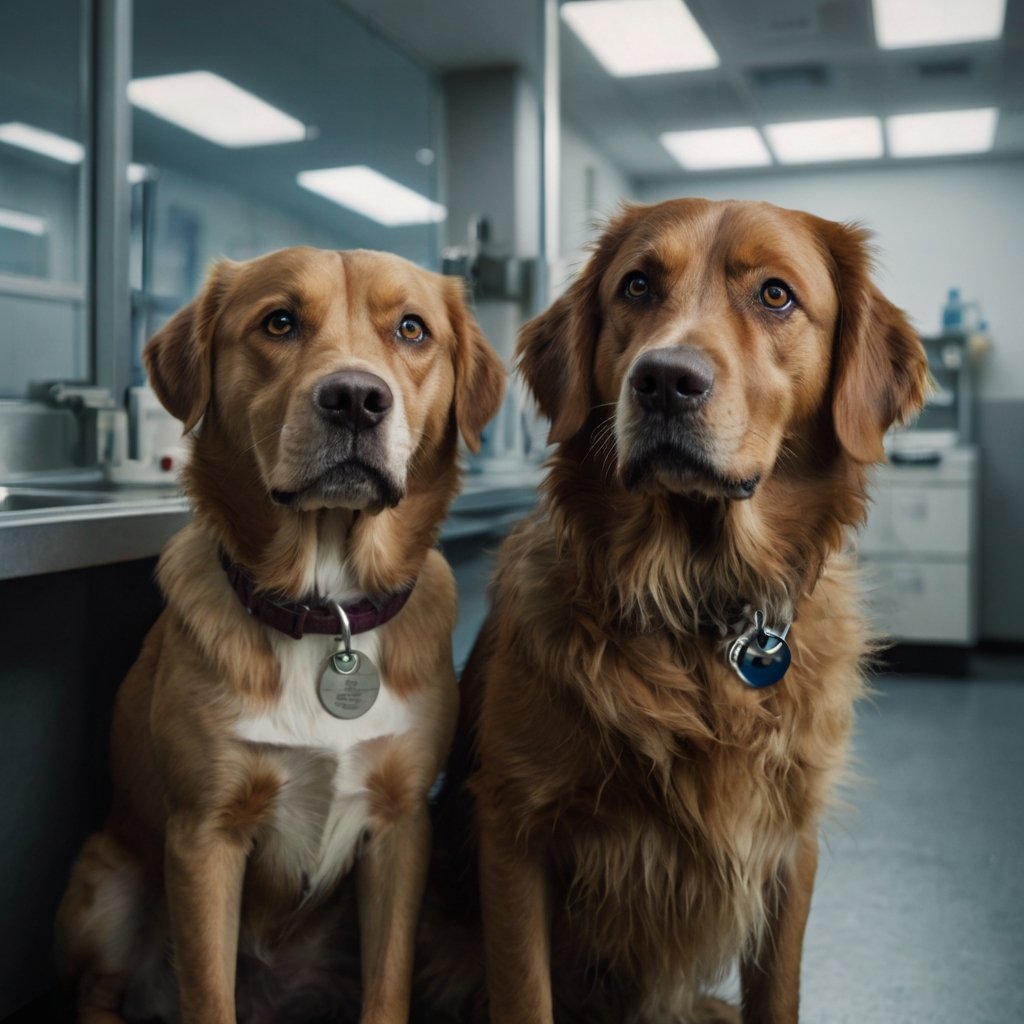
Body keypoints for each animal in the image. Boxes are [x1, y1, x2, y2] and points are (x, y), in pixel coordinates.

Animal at [54, 247, 505, 1024]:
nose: (355, 399)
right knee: (97, 993)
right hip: (104, 892)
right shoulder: (205, 836)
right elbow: (209, 993)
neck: (330, 612)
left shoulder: (401, 830)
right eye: (280, 322)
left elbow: (388, 990)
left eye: (412, 329)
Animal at [428, 199, 933, 1024]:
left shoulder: (789, 843)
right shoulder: (511, 827)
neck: (696, 602)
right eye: (636, 285)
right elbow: (525, 992)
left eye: (775, 295)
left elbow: (776, 994)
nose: (665, 380)